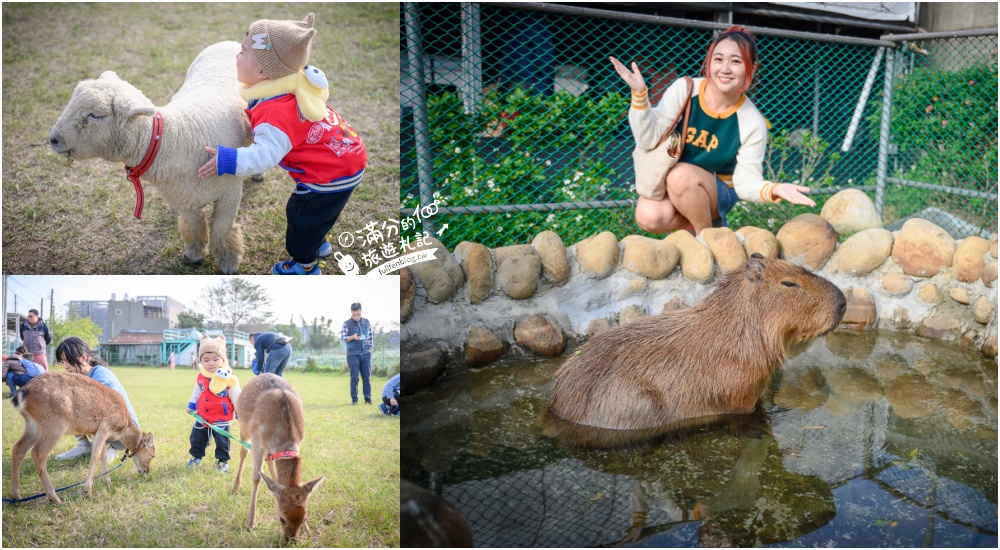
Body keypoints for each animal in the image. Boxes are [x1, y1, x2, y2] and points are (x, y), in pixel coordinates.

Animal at [7, 374, 155, 506]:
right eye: (153, 455)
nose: (147, 471)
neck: (122, 428)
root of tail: (20, 395)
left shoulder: (95, 432)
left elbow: (103, 455)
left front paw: (108, 482)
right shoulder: (105, 426)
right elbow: (95, 455)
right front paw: (88, 491)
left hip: (33, 425)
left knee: (18, 448)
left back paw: (16, 496)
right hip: (55, 424)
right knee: (38, 453)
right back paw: (55, 498)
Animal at [50, 42, 254, 274]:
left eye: (95, 115)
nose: (53, 139)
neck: (177, 138)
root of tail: (226, 42)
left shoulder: (229, 195)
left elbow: (222, 229)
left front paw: (229, 263)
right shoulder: (184, 199)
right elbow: (193, 226)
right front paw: (194, 254)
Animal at [234, 374, 324, 540]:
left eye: (305, 517)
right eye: (282, 518)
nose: (291, 539)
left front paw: (308, 531)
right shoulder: (257, 440)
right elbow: (256, 477)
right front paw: (250, 522)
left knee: (270, 464)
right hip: (243, 427)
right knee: (243, 453)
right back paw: (235, 487)